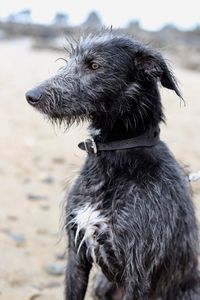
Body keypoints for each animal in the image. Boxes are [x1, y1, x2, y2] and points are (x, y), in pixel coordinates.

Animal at [25, 31, 199, 300]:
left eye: (94, 65)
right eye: (69, 61)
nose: (32, 95)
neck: (115, 157)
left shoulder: (138, 272)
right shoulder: (76, 254)